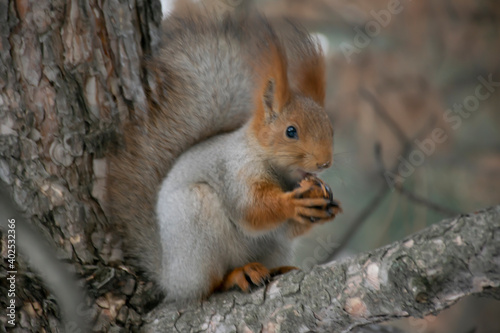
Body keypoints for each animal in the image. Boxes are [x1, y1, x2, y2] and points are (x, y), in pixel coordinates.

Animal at [107, 12, 342, 300]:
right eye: (291, 131)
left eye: (330, 128)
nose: (324, 162)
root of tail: (170, 277)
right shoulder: (236, 171)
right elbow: (251, 211)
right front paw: (292, 203)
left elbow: (286, 228)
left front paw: (329, 205)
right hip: (196, 220)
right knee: (208, 285)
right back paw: (238, 274)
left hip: (272, 248)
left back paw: (278, 268)